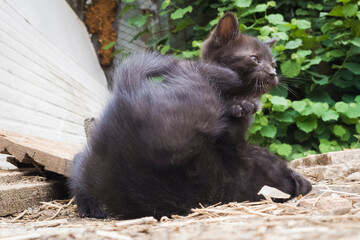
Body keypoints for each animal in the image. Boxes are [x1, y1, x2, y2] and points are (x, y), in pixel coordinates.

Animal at [69, 12, 310, 219]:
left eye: (274, 63)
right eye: (254, 58)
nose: (273, 74)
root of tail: (127, 94)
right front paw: (238, 104)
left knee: (80, 163)